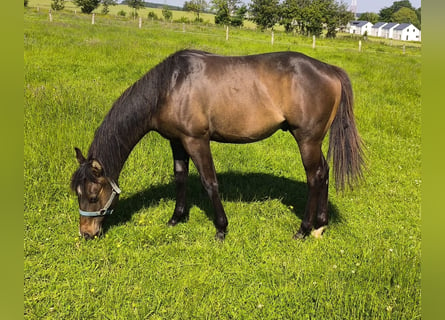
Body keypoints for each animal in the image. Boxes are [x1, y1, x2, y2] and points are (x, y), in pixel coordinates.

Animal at [69, 49, 362, 240]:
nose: (86, 233)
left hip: (307, 139)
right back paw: (320, 225)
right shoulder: (177, 141)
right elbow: (180, 177)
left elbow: (209, 182)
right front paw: (176, 217)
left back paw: (303, 229)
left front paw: (221, 228)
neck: (170, 86)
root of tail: (330, 70)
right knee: (324, 172)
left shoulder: (196, 140)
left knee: (314, 177)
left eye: (93, 196)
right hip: (313, 141)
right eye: (77, 193)